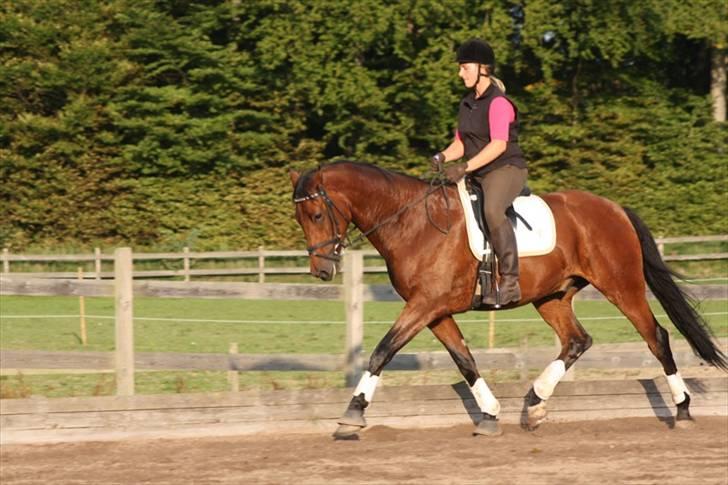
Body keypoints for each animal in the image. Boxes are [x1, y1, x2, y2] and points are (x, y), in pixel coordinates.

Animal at [288, 161, 724, 436]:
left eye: (316, 215)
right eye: (300, 218)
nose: (321, 271)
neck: (411, 223)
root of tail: (614, 208)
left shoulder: (424, 305)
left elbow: (382, 351)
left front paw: (353, 413)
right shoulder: (434, 310)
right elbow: (464, 361)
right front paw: (490, 414)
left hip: (622, 286)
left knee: (656, 337)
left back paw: (683, 410)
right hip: (552, 296)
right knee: (577, 340)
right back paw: (534, 403)